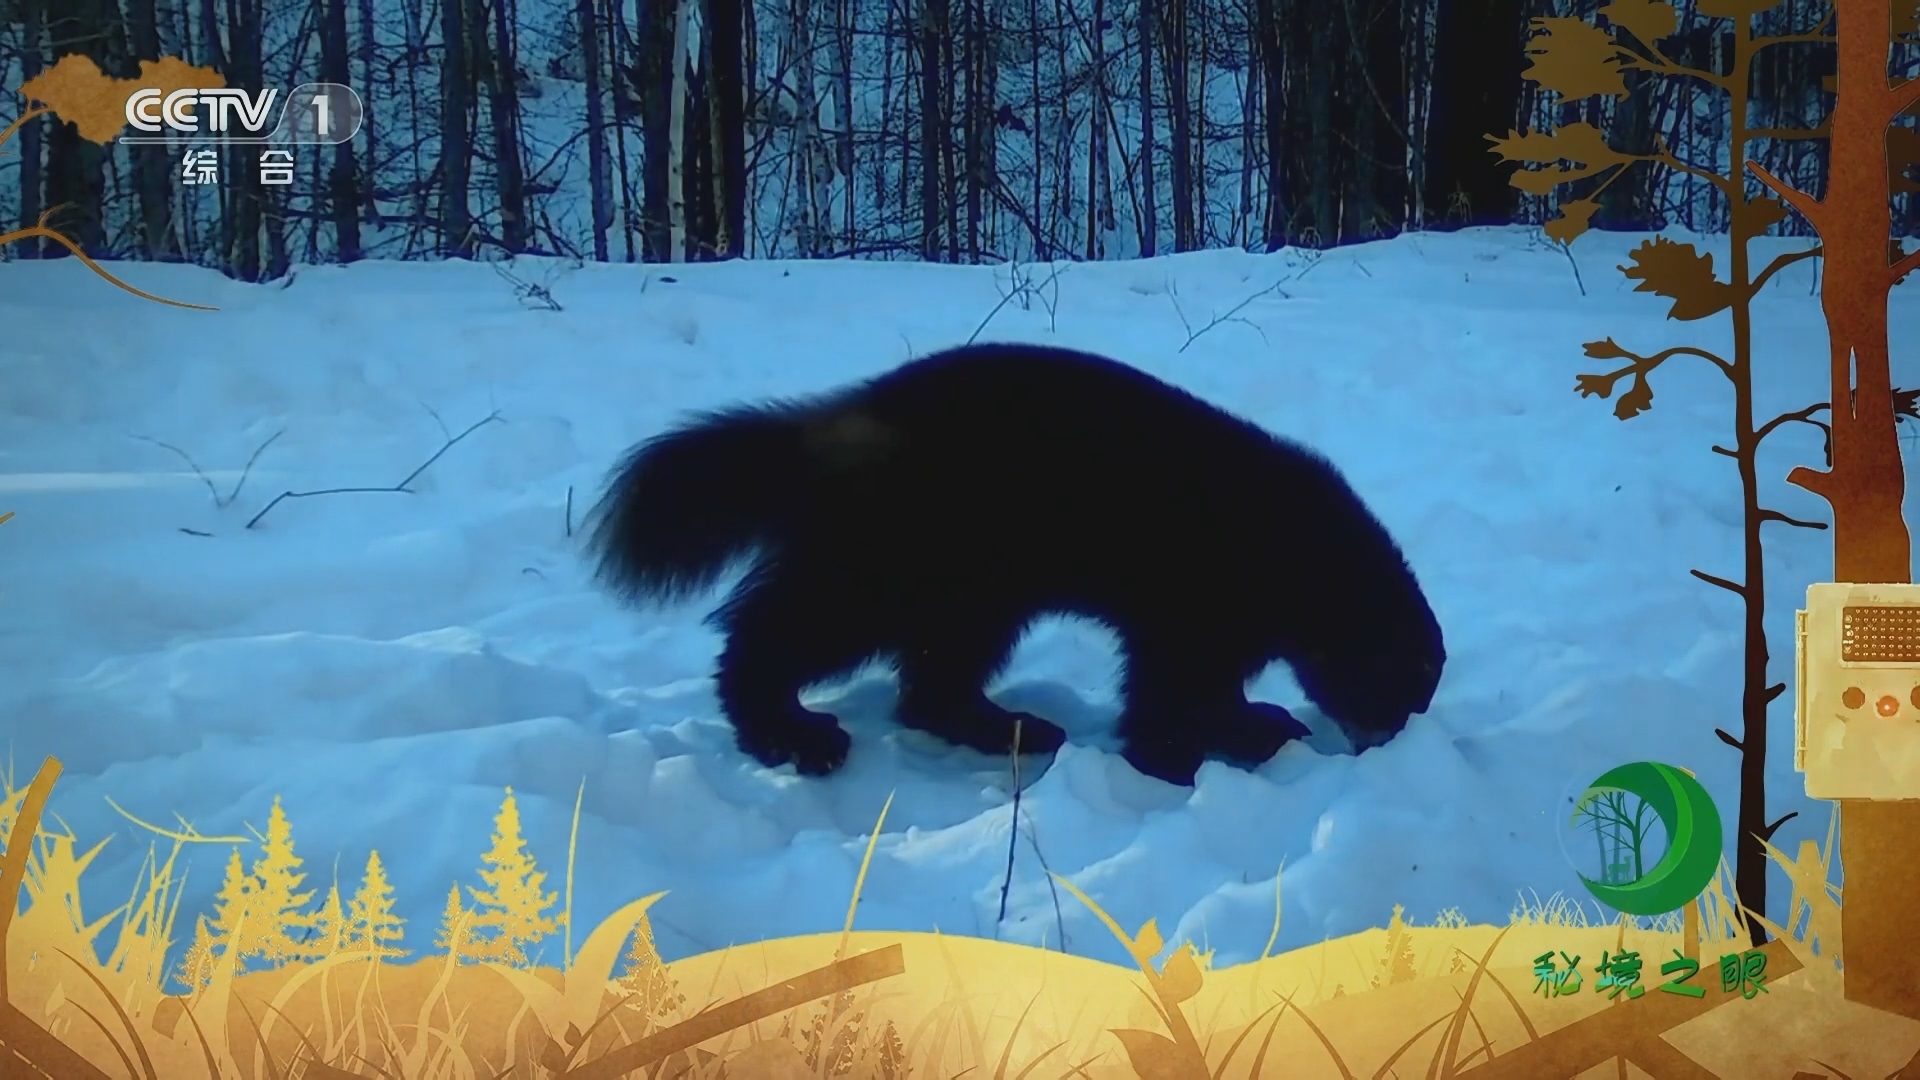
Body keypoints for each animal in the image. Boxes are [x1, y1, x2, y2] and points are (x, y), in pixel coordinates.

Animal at [584, 342, 1444, 786]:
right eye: (1394, 691)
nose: (1384, 745)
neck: (1306, 555)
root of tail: (836, 424)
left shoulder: (1199, 618)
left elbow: (1183, 682)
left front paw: (1248, 724)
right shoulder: (1197, 599)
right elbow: (1178, 688)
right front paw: (1202, 749)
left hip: (974, 585)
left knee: (935, 675)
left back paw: (1008, 726)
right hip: (905, 554)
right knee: (792, 628)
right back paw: (791, 732)